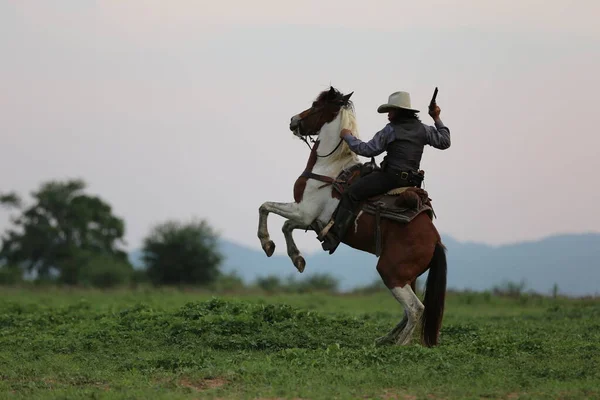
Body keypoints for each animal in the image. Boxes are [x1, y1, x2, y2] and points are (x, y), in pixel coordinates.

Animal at [255, 87, 448, 346]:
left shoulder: (304, 211)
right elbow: (286, 226)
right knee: (408, 312)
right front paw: (298, 259)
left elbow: (265, 207)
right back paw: (385, 339)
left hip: (391, 272)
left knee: (415, 308)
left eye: (316, 106)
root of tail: (436, 241)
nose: (293, 121)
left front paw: (267, 243)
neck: (329, 168)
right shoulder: (310, 219)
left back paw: (398, 346)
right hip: (409, 277)